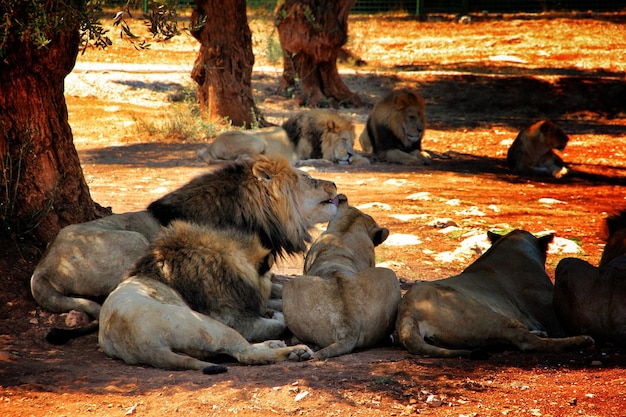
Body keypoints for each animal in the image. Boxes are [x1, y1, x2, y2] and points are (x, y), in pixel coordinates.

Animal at [100, 221, 314, 370]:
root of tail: (146, 345)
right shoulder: (234, 320)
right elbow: (279, 323)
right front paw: (276, 314)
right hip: (208, 326)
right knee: (246, 352)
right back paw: (297, 351)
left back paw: (276, 344)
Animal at [392, 228, 592, 358]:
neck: (510, 246)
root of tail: (407, 311)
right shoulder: (553, 319)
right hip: (487, 316)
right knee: (526, 340)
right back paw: (581, 341)